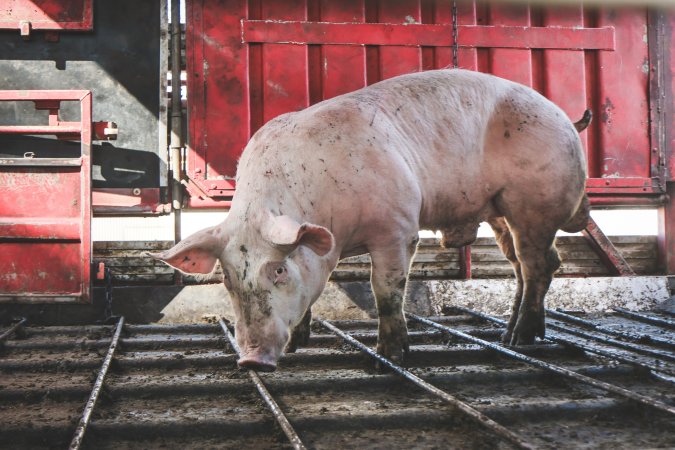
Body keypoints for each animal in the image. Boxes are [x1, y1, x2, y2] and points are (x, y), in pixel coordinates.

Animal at [154, 68, 592, 370]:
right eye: (228, 278)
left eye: (278, 270)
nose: (250, 360)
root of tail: (564, 116)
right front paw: (298, 344)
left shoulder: (397, 227)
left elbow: (385, 289)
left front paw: (392, 355)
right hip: (499, 210)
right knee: (524, 265)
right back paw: (510, 331)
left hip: (532, 202)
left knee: (539, 264)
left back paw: (520, 339)